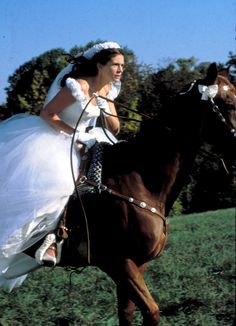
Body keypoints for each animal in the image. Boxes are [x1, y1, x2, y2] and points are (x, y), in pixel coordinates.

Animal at [52, 62, 236, 324]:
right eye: (229, 104)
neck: (140, 177)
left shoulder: (137, 263)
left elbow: (127, 312)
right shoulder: (115, 261)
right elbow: (152, 311)